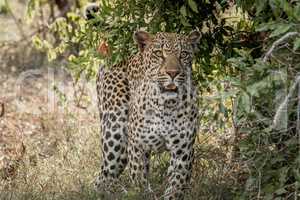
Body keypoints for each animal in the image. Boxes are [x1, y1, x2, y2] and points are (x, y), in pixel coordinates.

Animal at [84, 3, 200, 199]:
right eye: (159, 53)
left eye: (183, 54)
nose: (172, 73)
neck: (166, 106)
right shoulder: (138, 147)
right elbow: (140, 183)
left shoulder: (183, 152)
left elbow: (176, 186)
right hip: (115, 137)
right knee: (105, 174)